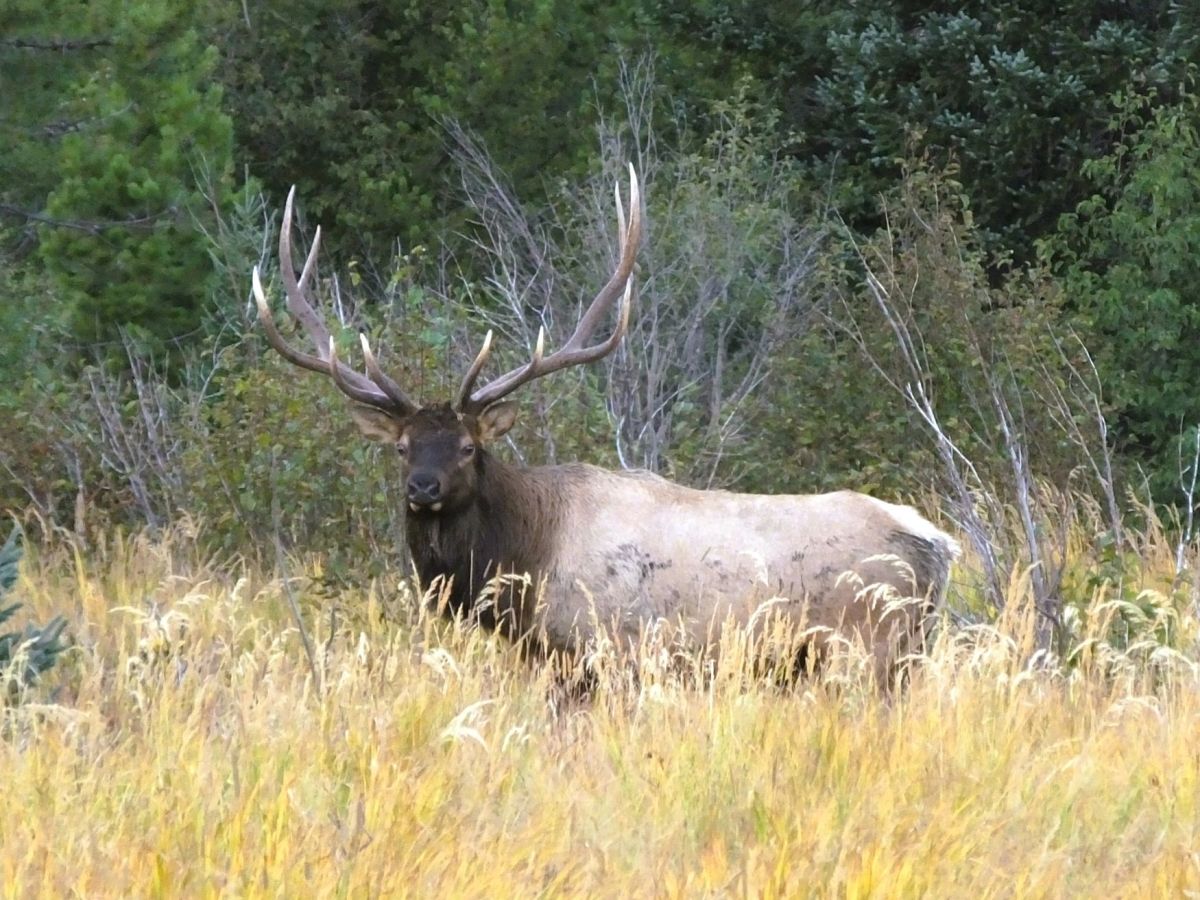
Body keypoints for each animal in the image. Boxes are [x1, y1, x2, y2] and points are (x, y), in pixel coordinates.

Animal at [251, 166, 960, 685]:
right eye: (401, 447)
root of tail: (938, 546)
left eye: (468, 446)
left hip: (869, 648)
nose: (422, 488)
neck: (526, 561)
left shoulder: (604, 652)